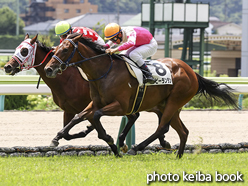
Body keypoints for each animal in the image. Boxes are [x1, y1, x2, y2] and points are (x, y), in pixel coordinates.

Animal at [4, 33, 170, 151]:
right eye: (16, 49)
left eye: (24, 51)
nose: (7, 67)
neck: (67, 78)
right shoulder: (69, 109)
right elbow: (69, 132)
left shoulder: (89, 105)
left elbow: (87, 122)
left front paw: (106, 139)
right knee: (139, 116)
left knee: (152, 117)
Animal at [44, 33, 238, 158]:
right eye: (55, 49)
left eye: (65, 49)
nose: (48, 69)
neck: (104, 72)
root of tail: (191, 71)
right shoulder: (96, 103)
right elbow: (79, 116)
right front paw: (57, 138)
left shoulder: (121, 105)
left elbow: (97, 116)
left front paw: (112, 141)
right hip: (169, 106)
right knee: (183, 131)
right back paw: (178, 156)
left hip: (174, 102)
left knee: (162, 127)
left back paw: (136, 148)